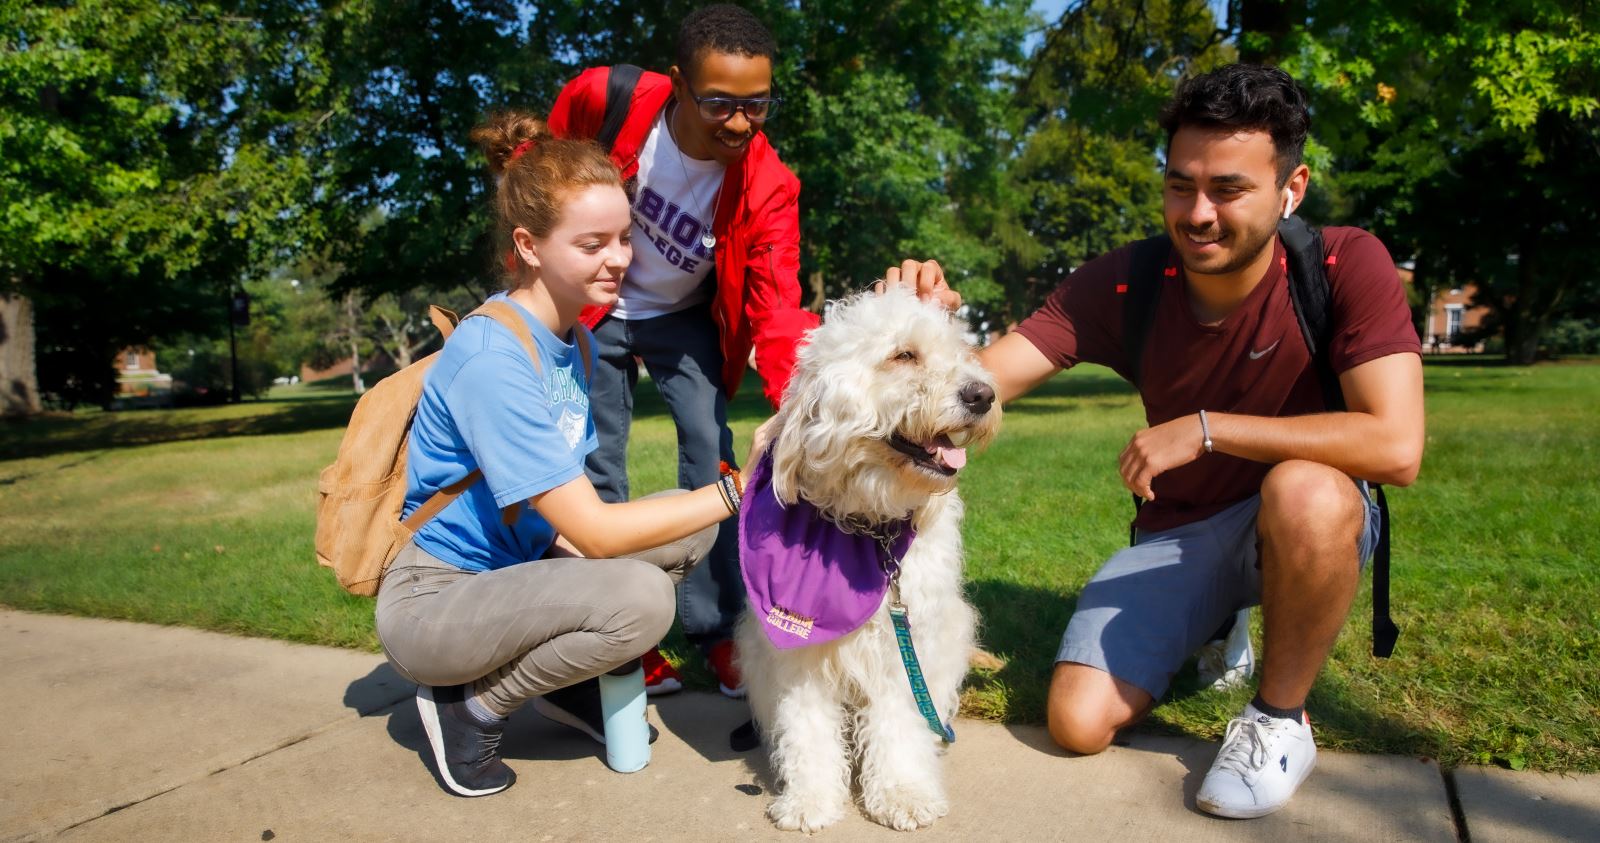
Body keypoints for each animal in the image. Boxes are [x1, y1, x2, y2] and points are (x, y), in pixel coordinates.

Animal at [736, 287, 998, 831]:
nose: (982, 395)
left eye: (962, 352)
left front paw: (902, 793)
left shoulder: (903, 645)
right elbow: (806, 727)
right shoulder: (797, 652)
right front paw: (810, 799)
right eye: (904, 355)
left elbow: (899, 723)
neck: (867, 528)